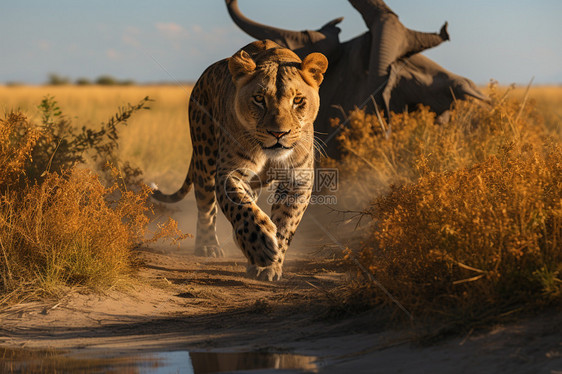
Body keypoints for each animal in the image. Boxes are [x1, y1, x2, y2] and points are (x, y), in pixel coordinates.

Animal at [153, 40, 328, 280]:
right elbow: (241, 208)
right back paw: (208, 246)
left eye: (298, 100)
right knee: (206, 207)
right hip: (204, 157)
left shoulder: (298, 180)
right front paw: (262, 246)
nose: (278, 133)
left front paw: (269, 265)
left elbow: (286, 222)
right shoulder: (229, 172)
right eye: (259, 99)